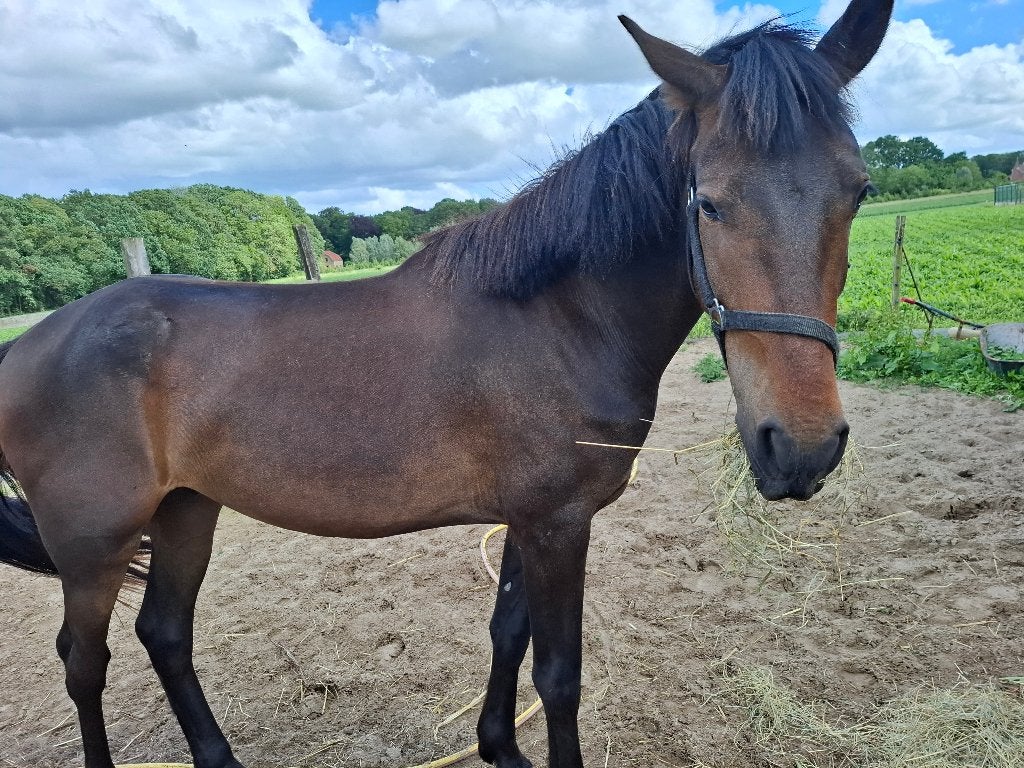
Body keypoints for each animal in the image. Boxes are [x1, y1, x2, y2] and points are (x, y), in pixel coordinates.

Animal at [0, 1, 893, 766]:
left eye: (859, 191)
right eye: (708, 203)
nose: (801, 448)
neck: (557, 319)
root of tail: (25, 349)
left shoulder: (530, 522)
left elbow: (507, 636)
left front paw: (499, 747)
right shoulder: (557, 525)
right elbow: (558, 677)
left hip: (187, 510)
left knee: (164, 634)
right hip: (94, 544)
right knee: (84, 659)